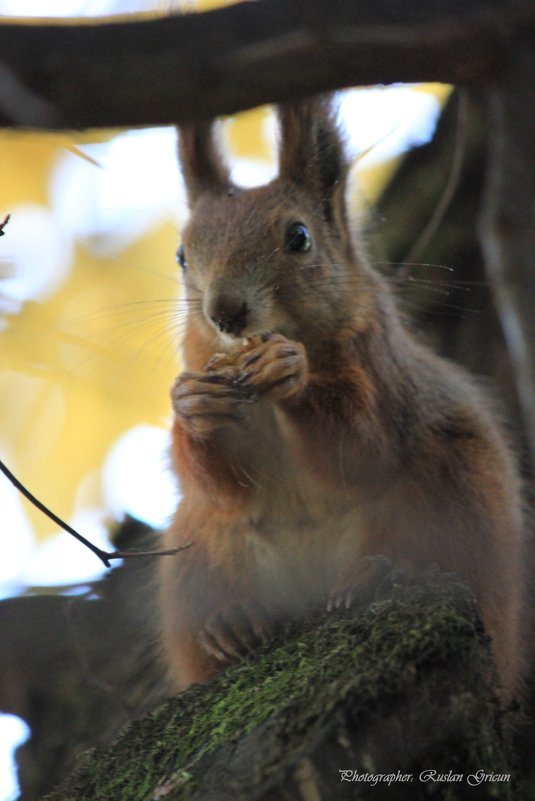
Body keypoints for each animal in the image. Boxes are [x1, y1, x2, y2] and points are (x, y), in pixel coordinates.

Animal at [160, 94, 528, 700]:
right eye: (182, 255)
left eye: (299, 237)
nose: (225, 314)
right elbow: (224, 488)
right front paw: (193, 408)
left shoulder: (382, 369)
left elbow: (361, 451)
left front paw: (291, 371)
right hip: (198, 555)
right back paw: (234, 622)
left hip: (454, 496)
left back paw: (379, 572)